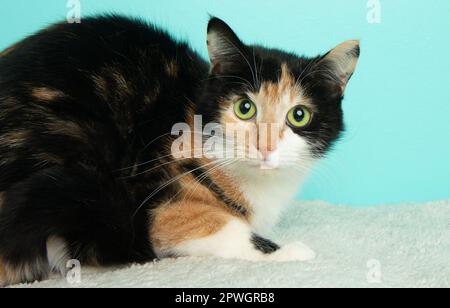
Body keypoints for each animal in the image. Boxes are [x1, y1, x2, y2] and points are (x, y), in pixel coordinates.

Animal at [0, 15, 360, 286]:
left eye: (299, 115)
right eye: (244, 108)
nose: (266, 145)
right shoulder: (166, 206)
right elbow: (226, 228)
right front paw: (292, 252)